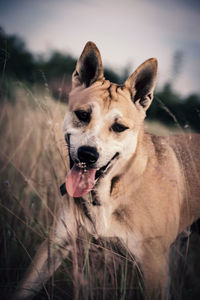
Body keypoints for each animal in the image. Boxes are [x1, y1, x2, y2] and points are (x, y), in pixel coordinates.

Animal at [14, 42, 200, 300]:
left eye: (119, 127)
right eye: (83, 115)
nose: (87, 154)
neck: (110, 190)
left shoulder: (154, 267)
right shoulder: (56, 244)